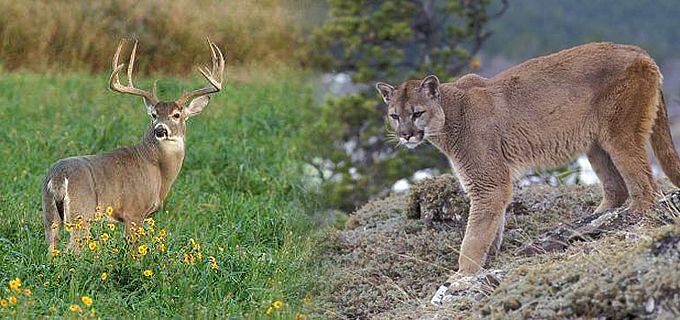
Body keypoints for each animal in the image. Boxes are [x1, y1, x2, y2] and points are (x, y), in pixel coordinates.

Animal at [42, 38, 226, 254]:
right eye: (154, 115)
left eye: (176, 115)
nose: (160, 130)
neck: (157, 169)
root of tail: (58, 177)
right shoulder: (134, 212)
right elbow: (133, 251)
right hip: (81, 214)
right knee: (72, 250)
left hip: (49, 215)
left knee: (51, 250)